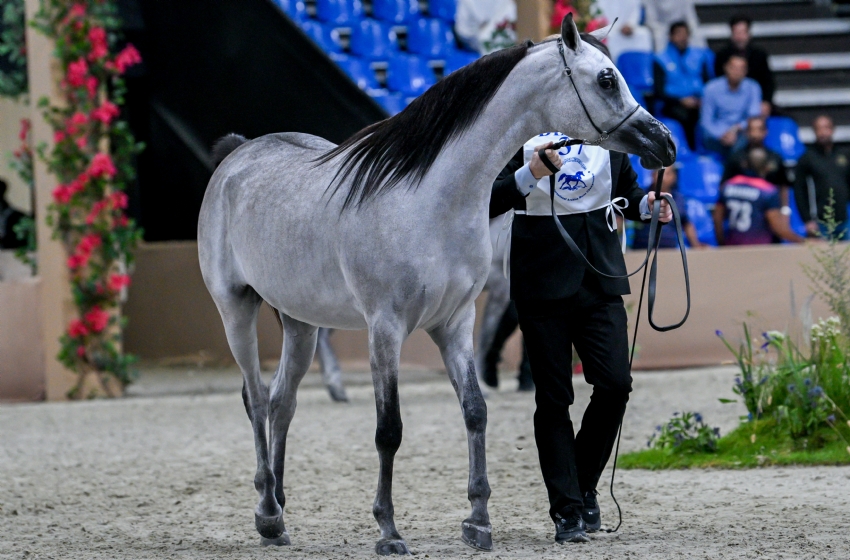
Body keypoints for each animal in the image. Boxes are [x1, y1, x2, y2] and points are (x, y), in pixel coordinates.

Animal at [195, 13, 672, 556]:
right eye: (607, 79)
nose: (665, 143)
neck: (427, 200)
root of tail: (238, 154)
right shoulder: (386, 329)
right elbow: (389, 430)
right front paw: (388, 530)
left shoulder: (454, 323)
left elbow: (475, 410)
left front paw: (479, 521)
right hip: (236, 310)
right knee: (255, 399)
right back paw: (267, 510)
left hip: (299, 321)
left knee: (281, 403)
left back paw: (277, 515)